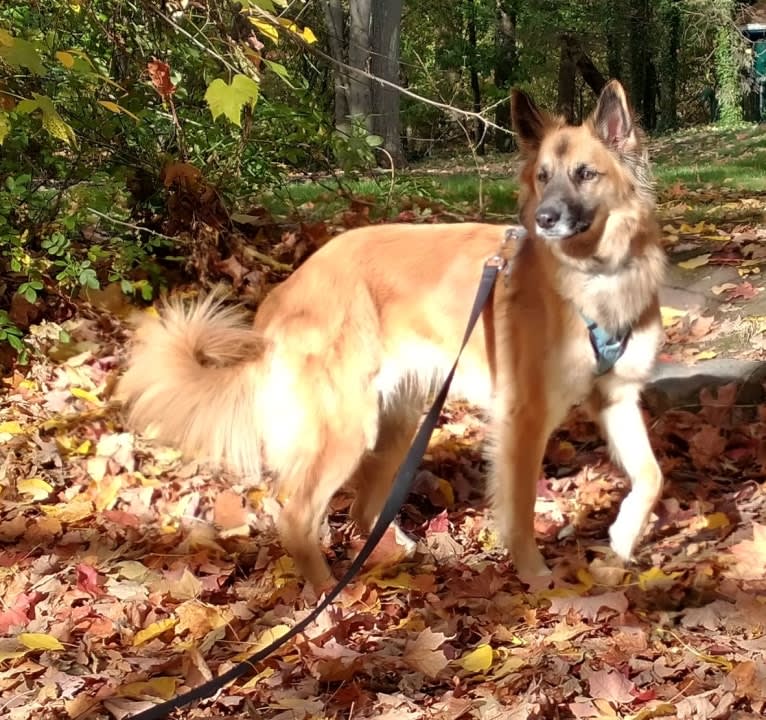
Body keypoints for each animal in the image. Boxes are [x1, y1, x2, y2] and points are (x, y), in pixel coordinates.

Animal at [118, 80, 664, 592]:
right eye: (542, 177)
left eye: (585, 174)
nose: (545, 219)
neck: (596, 276)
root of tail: (284, 292)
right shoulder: (524, 418)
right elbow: (521, 510)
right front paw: (536, 576)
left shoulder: (615, 396)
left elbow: (652, 475)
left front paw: (621, 539)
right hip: (348, 427)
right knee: (296, 516)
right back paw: (327, 601)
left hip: (398, 420)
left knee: (362, 511)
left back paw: (395, 552)